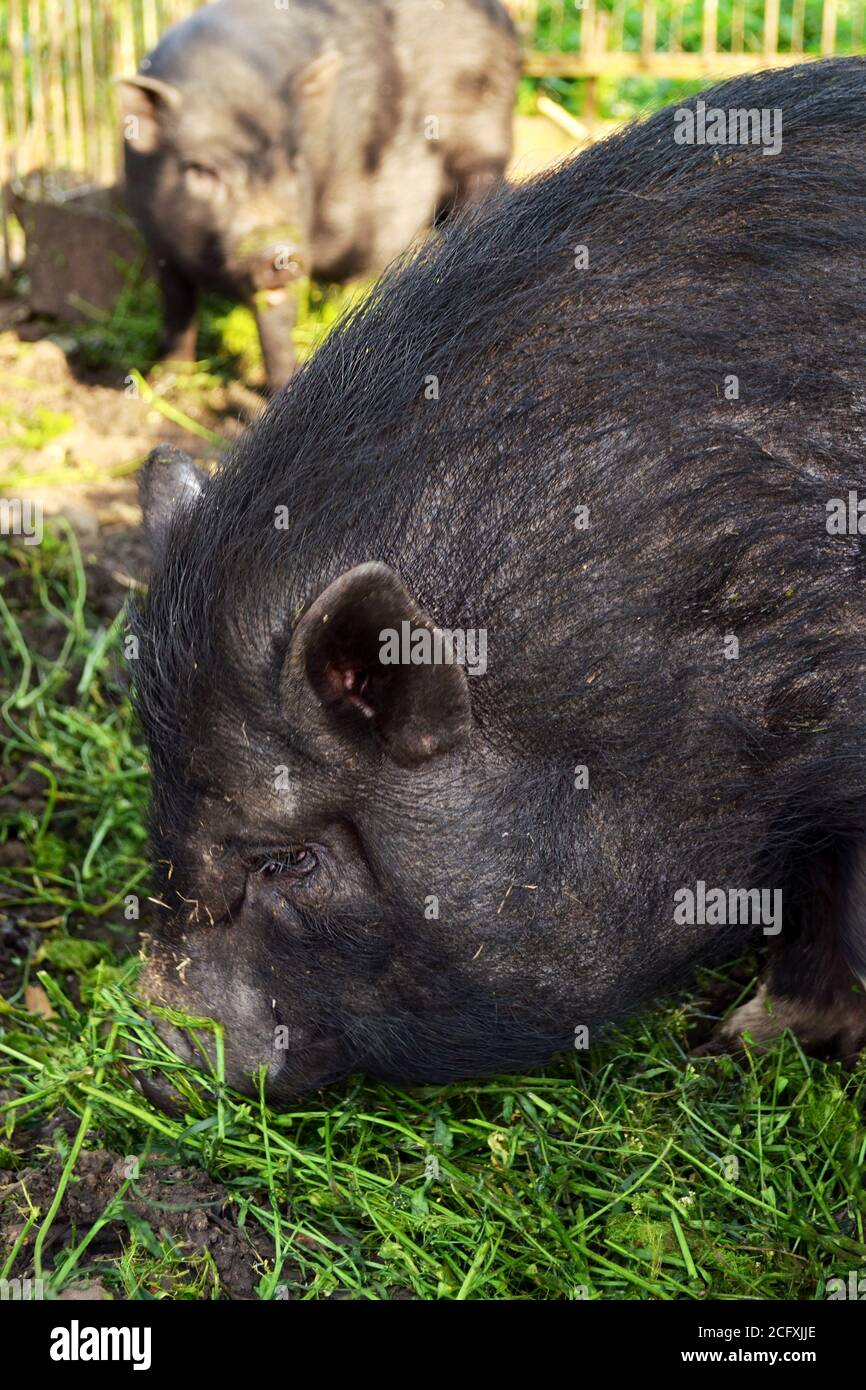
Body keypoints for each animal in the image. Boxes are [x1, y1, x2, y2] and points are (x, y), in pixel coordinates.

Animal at [119, 0, 519, 388]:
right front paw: (161, 383)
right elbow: (177, 306)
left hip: (483, 148)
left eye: (294, 163)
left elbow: (276, 322)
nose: (280, 250)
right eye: (202, 170)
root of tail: (503, 19)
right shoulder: (154, 237)